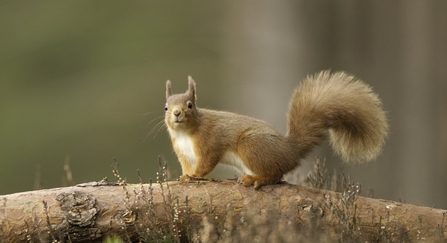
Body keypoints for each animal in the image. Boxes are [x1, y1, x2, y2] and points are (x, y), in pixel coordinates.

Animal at [164, 71, 388, 189]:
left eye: (190, 105)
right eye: (165, 107)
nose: (176, 113)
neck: (185, 134)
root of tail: (290, 151)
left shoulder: (210, 142)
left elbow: (206, 163)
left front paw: (194, 176)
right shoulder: (184, 154)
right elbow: (187, 167)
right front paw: (184, 176)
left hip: (251, 146)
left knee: (275, 174)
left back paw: (255, 179)